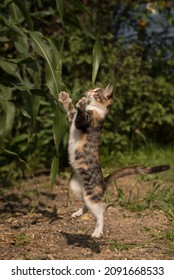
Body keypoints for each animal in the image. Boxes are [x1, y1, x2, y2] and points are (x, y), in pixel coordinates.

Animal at [58, 84, 170, 237]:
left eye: (96, 91)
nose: (88, 90)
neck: (96, 108)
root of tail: (104, 181)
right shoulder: (72, 120)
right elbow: (71, 111)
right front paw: (65, 97)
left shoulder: (85, 121)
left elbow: (80, 114)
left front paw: (81, 103)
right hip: (77, 188)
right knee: (88, 205)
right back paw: (77, 213)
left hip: (91, 193)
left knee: (101, 212)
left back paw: (97, 232)